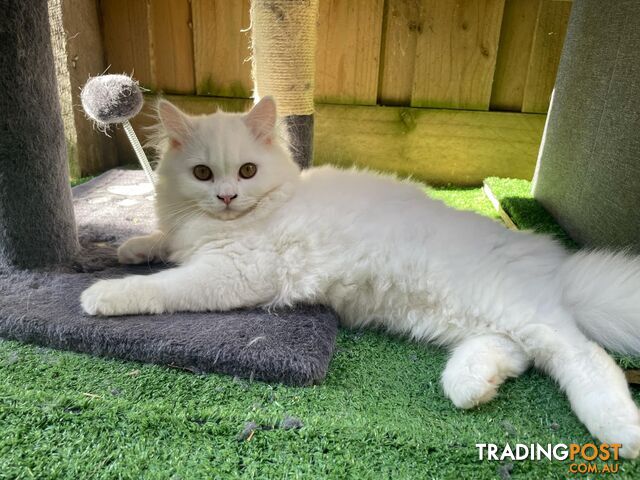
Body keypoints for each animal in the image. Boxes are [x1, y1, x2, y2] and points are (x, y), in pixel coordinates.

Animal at [82, 96, 640, 458]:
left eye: (246, 172)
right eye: (202, 174)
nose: (226, 196)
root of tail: (556, 262)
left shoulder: (235, 272)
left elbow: (163, 286)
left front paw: (102, 294)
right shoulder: (191, 240)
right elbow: (161, 243)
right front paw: (130, 247)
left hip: (511, 308)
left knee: (584, 355)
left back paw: (621, 432)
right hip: (467, 317)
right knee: (515, 353)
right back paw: (471, 386)